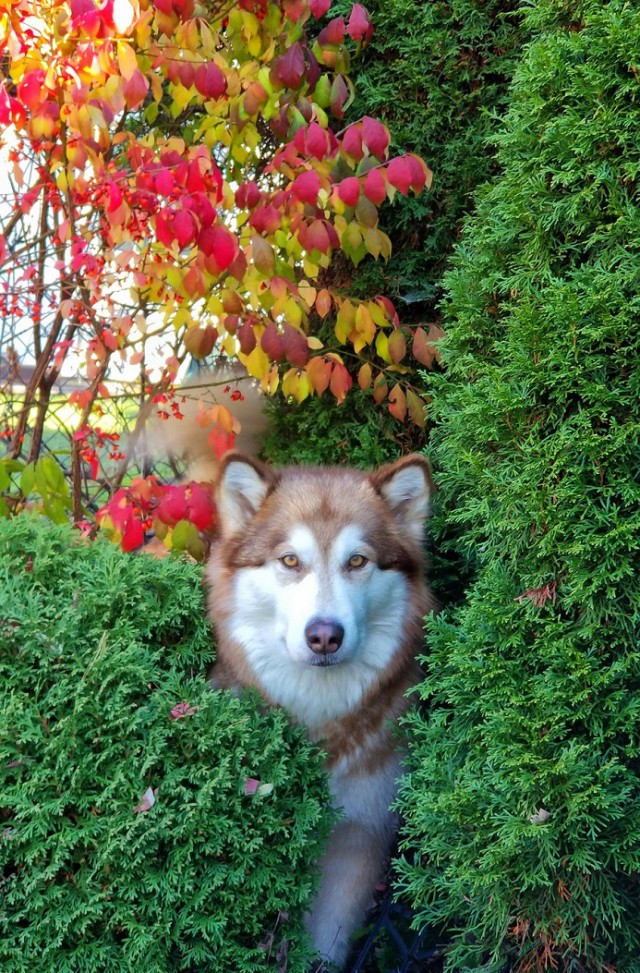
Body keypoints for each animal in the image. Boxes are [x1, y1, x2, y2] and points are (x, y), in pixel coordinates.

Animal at [208, 452, 432, 968]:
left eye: (357, 561)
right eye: (291, 560)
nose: (325, 635)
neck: (318, 721)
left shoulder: (360, 833)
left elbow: (328, 940)